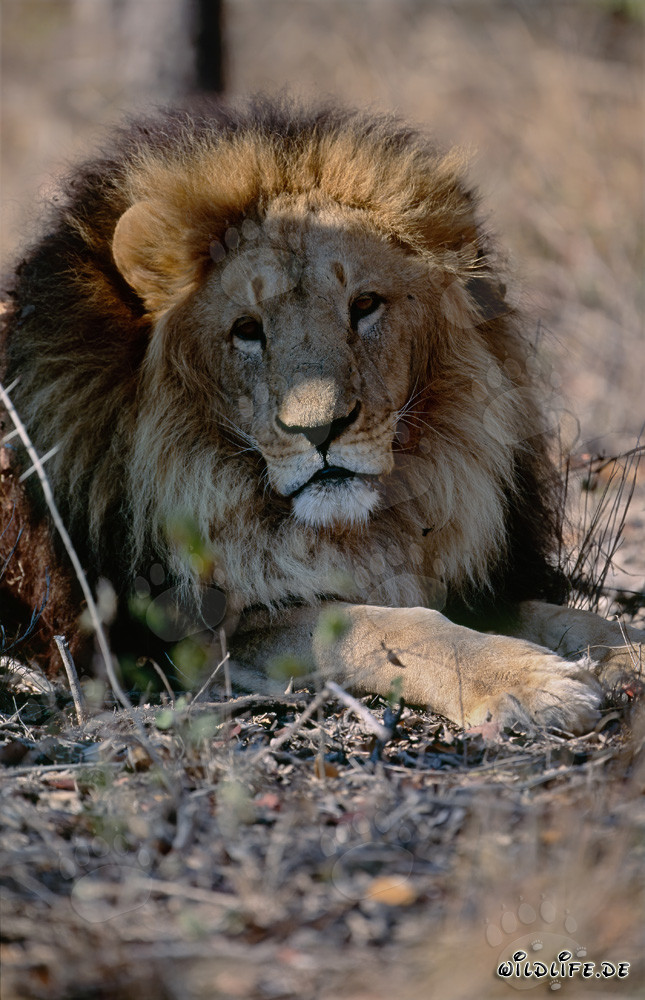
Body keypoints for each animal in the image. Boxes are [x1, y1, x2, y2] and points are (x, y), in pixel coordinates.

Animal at [1, 97, 642, 734]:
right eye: (247, 330)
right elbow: (384, 625)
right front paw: (529, 682)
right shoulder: (197, 636)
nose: (319, 429)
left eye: (365, 305)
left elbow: (564, 616)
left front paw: (626, 651)